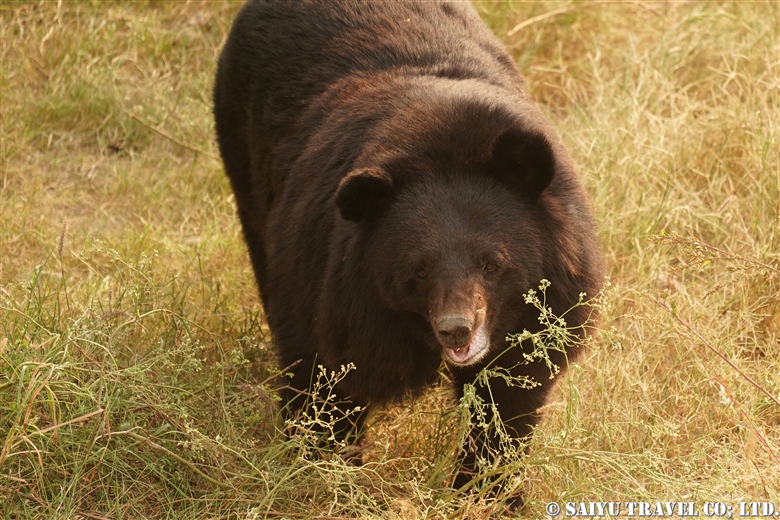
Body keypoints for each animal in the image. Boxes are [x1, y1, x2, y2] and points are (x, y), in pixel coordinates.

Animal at [213, 0, 604, 500]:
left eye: (491, 263)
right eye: (417, 272)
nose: (456, 329)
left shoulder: (546, 305)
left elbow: (507, 401)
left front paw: (489, 492)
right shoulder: (334, 288)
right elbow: (324, 381)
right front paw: (324, 477)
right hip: (242, 151)